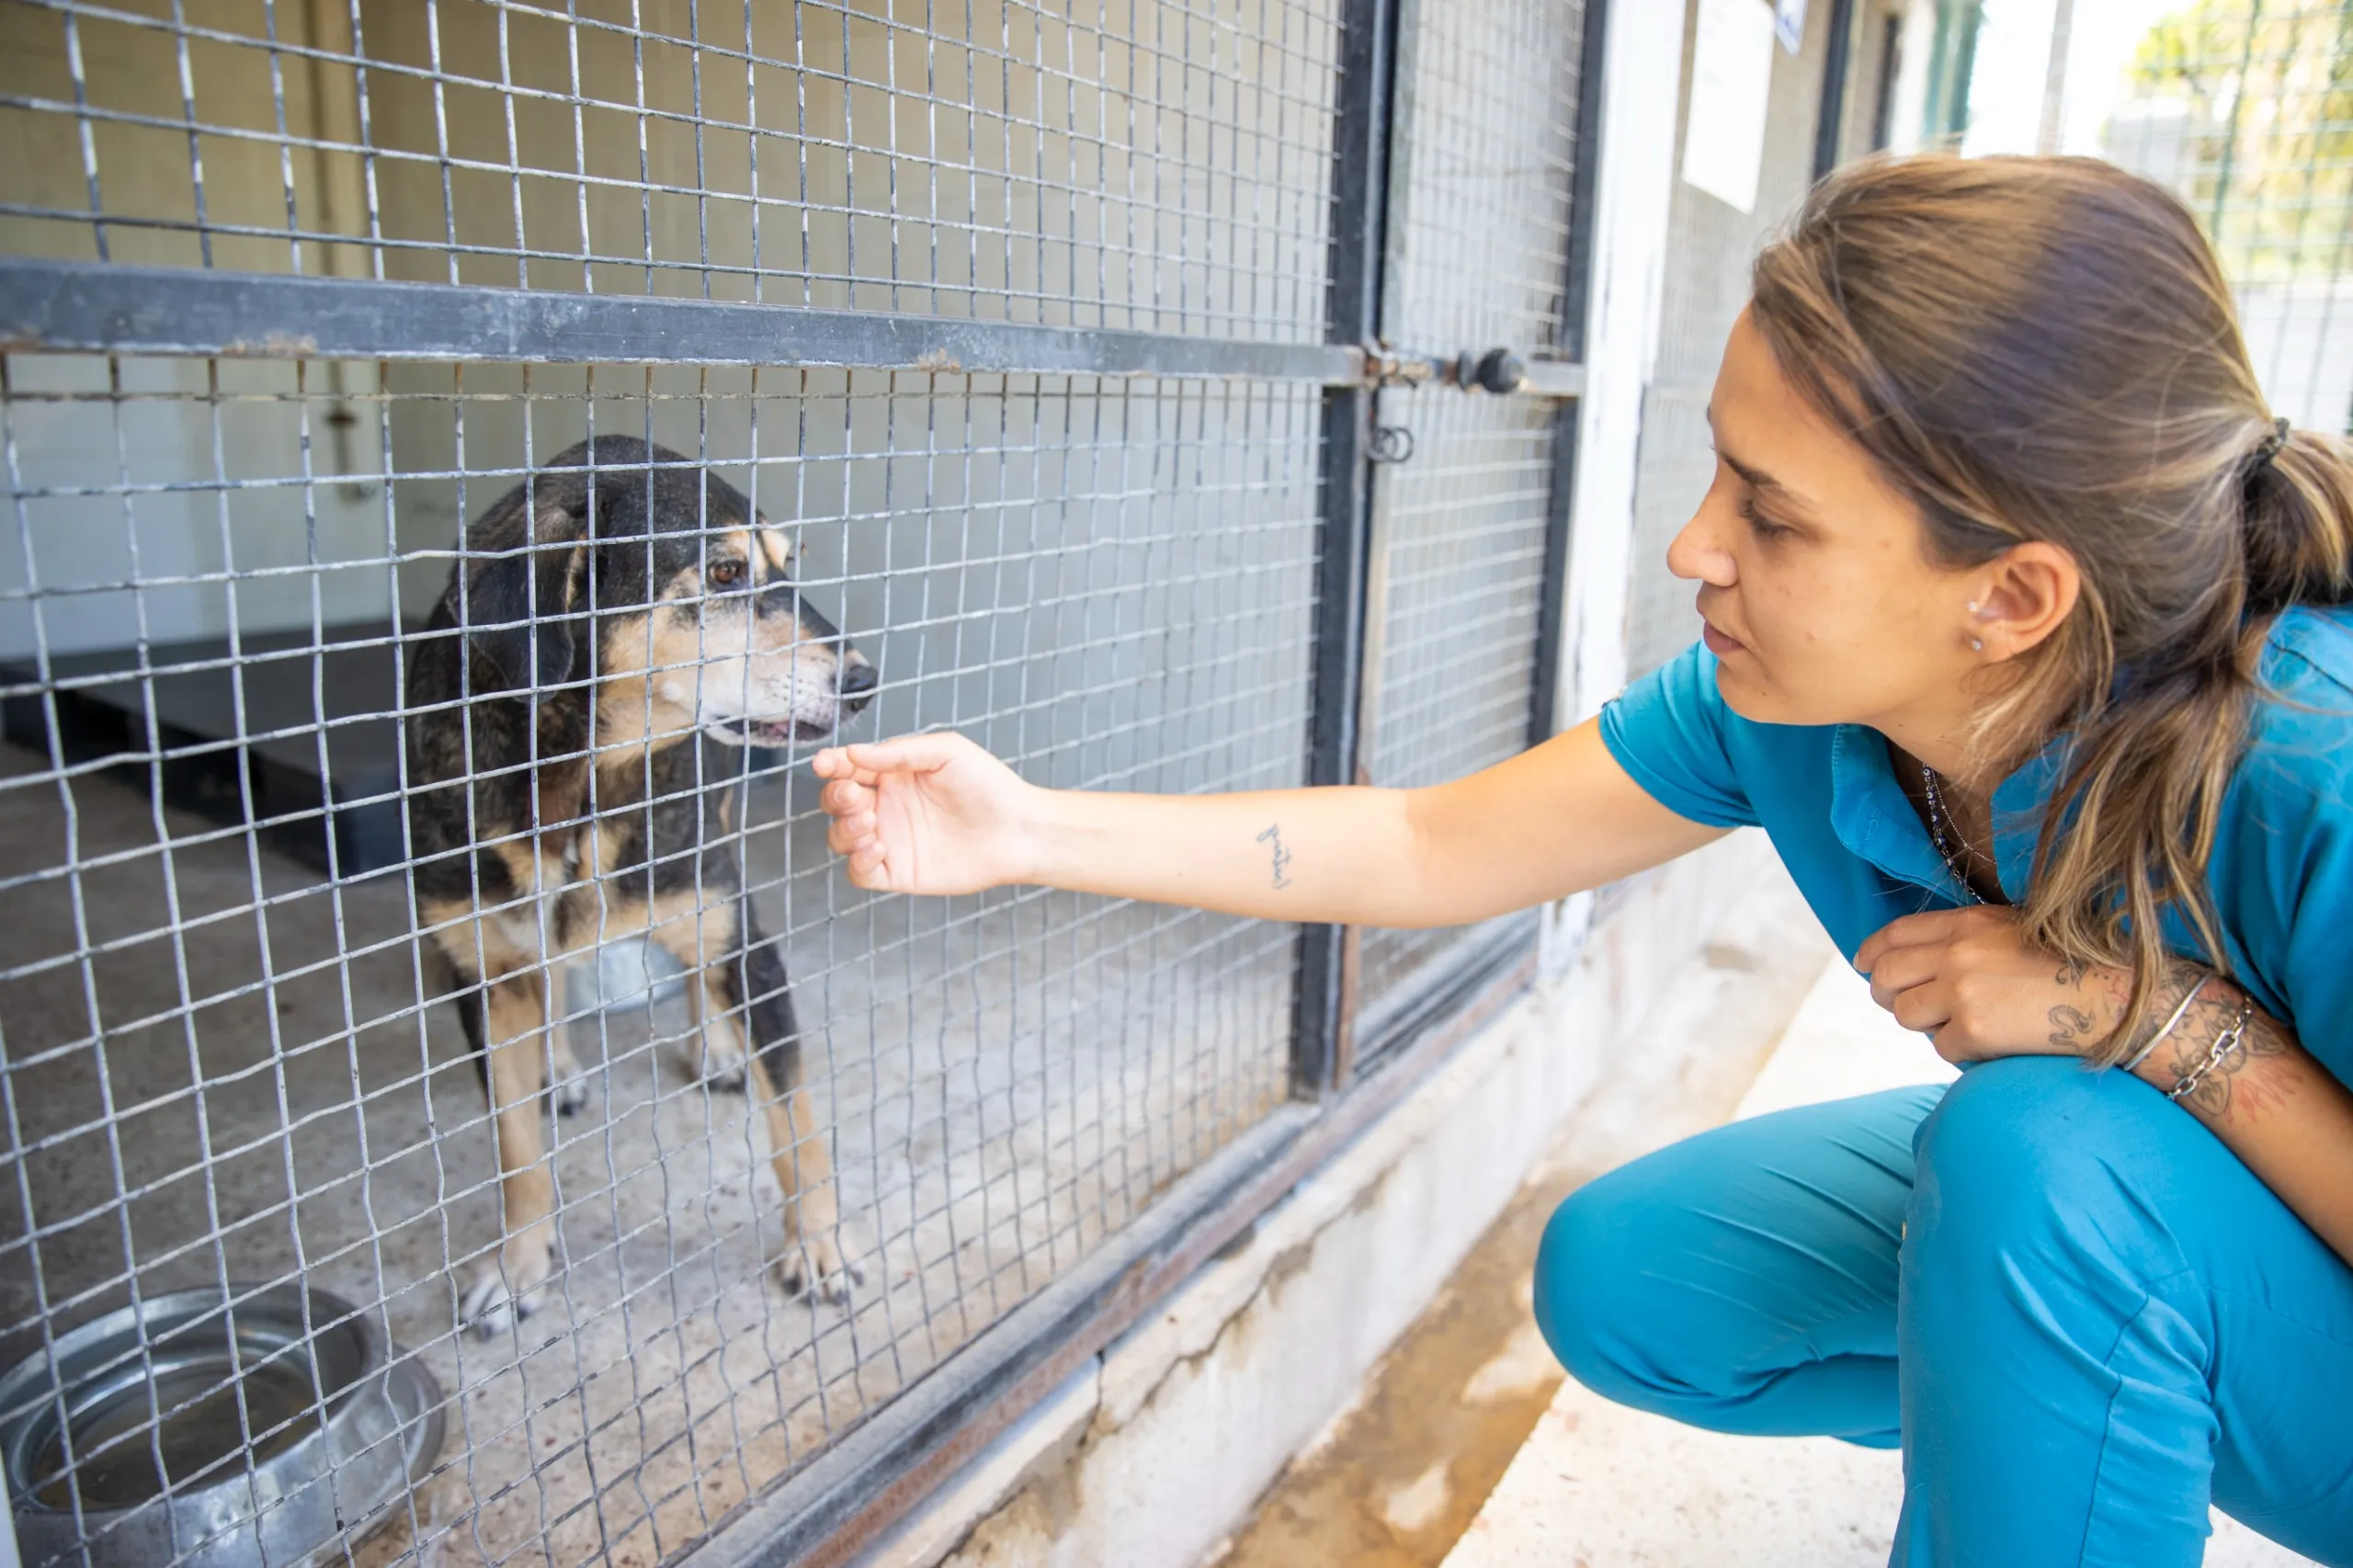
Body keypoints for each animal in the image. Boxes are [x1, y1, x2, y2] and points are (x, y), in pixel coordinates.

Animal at [404, 433, 875, 1327]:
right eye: (724, 573)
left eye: (786, 565)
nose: (867, 680)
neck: (577, 786)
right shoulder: (478, 971)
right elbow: (516, 1147)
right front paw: (517, 1266)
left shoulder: (747, 946)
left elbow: (798, 1126)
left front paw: (819, 1245)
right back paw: (557, 1063)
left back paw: (712, 1046)